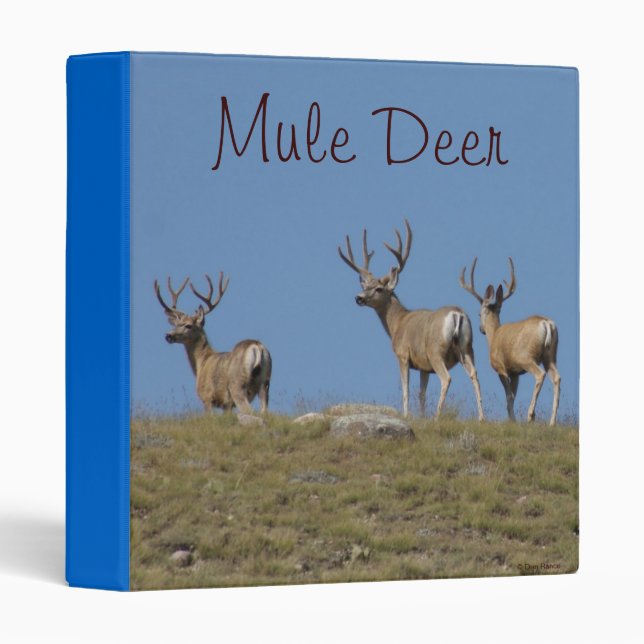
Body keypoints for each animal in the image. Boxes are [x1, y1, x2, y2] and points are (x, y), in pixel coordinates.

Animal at [154, 272, 272, 415]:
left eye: (188, 325)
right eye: (176, 324)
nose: (168, 335)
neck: (202, 362)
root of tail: (256, 346)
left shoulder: (207, 396)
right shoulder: (227, 405)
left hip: (237, 384)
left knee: (249, 410)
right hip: (265, 383)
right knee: (264, 410)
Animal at [338, 219, 484, 420]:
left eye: (379, 289)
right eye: (366, 285)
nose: (358, 297)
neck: (397, 323)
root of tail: (457, 314)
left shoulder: (403, 355)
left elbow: (406, 390)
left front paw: (407, 415)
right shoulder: (424, 366)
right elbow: (422, 393)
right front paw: (421, 416)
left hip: (435, 350)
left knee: (446, 378)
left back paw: (437, 416)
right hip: (467, 348)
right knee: (475, 375)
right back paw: (481, 417)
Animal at [459, 257, 560, 426]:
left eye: (479, 314)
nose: (481, 329)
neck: (494, 336)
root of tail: (546, 324)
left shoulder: (501, 367)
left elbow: (509, 397)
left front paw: (512, 420)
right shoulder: (515, 373)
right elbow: (513, 396)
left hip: (526, 357)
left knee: (540, 375)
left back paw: (530, 415)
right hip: (550, 356)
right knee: (557, 378)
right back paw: (552, 422)